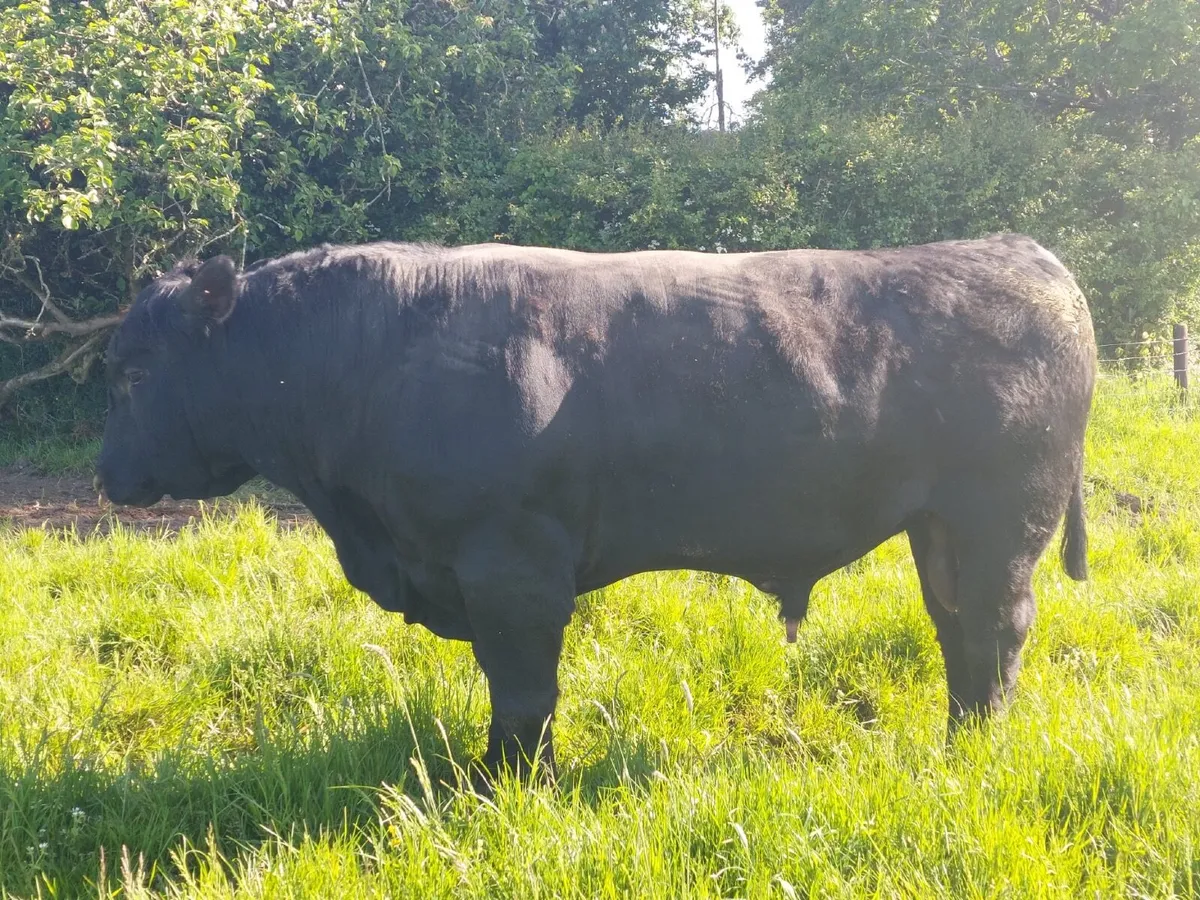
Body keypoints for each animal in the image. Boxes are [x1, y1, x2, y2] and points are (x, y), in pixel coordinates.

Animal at [95, 235, 1096, 780]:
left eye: (136, 373)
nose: (107, 475)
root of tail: (1020, 253)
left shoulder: (510, 569)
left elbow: (523, 691)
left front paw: (506, 786)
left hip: (1001, 519)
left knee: (995, 627)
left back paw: (973, 750)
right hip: (942, 528)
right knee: (955, 624)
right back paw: (958, 739)